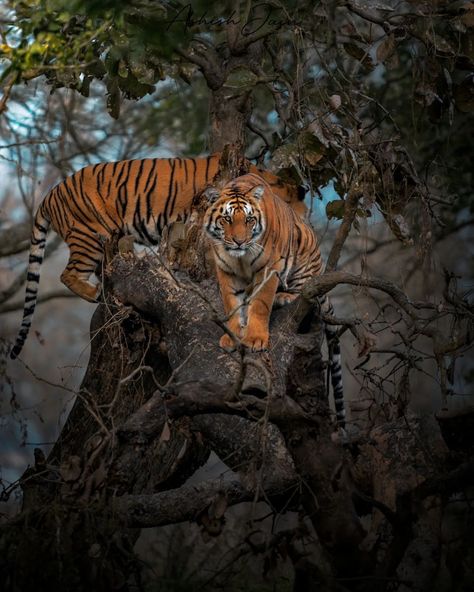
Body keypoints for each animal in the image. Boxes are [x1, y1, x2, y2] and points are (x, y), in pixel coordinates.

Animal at [204, 173, 344, 428]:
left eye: (249, 220)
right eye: (226, 219)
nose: (239, 242)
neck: (240, 259)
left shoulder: (269, 267)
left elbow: (260, 304)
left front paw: (255, 339)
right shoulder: (225, 269)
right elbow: (232, 304)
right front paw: (232, 336)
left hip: (304, 253)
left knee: (305, 290)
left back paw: (285, 296)